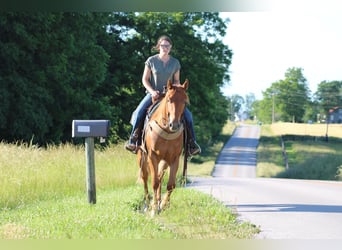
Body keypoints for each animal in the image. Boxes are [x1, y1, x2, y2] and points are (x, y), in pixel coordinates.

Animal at [137, 79, 190, 215]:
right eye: (169, 99)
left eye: (185, 101)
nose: (174, 125)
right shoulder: (152, 156)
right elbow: (154, 182)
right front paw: (154, 209)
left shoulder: (174, 158)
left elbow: (170, 184)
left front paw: (163, 205)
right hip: (142, 158)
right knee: (145, 178)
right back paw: (147, 204)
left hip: (164, 161)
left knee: (160, 176)